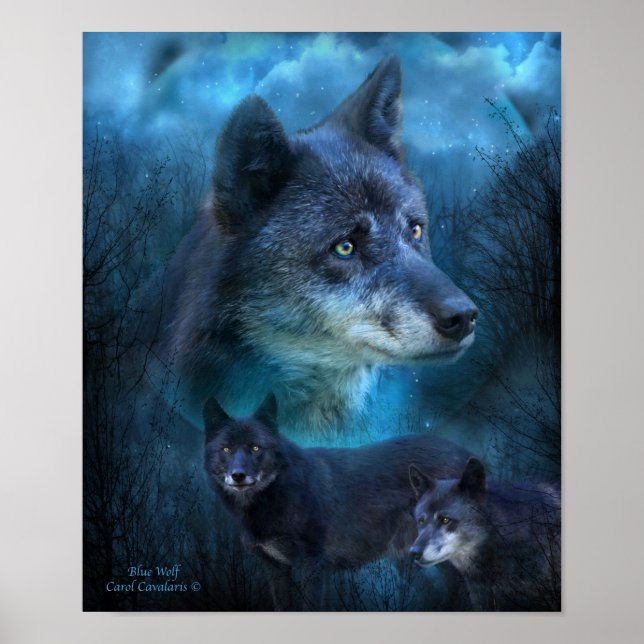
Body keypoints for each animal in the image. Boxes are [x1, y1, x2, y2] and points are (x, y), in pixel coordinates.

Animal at [202, 394, 472, 610]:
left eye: (256, 447)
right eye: (226, 449)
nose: (238, 475)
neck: (274, 497)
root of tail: (466, 453)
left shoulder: (312, 564)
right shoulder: (276, 568)